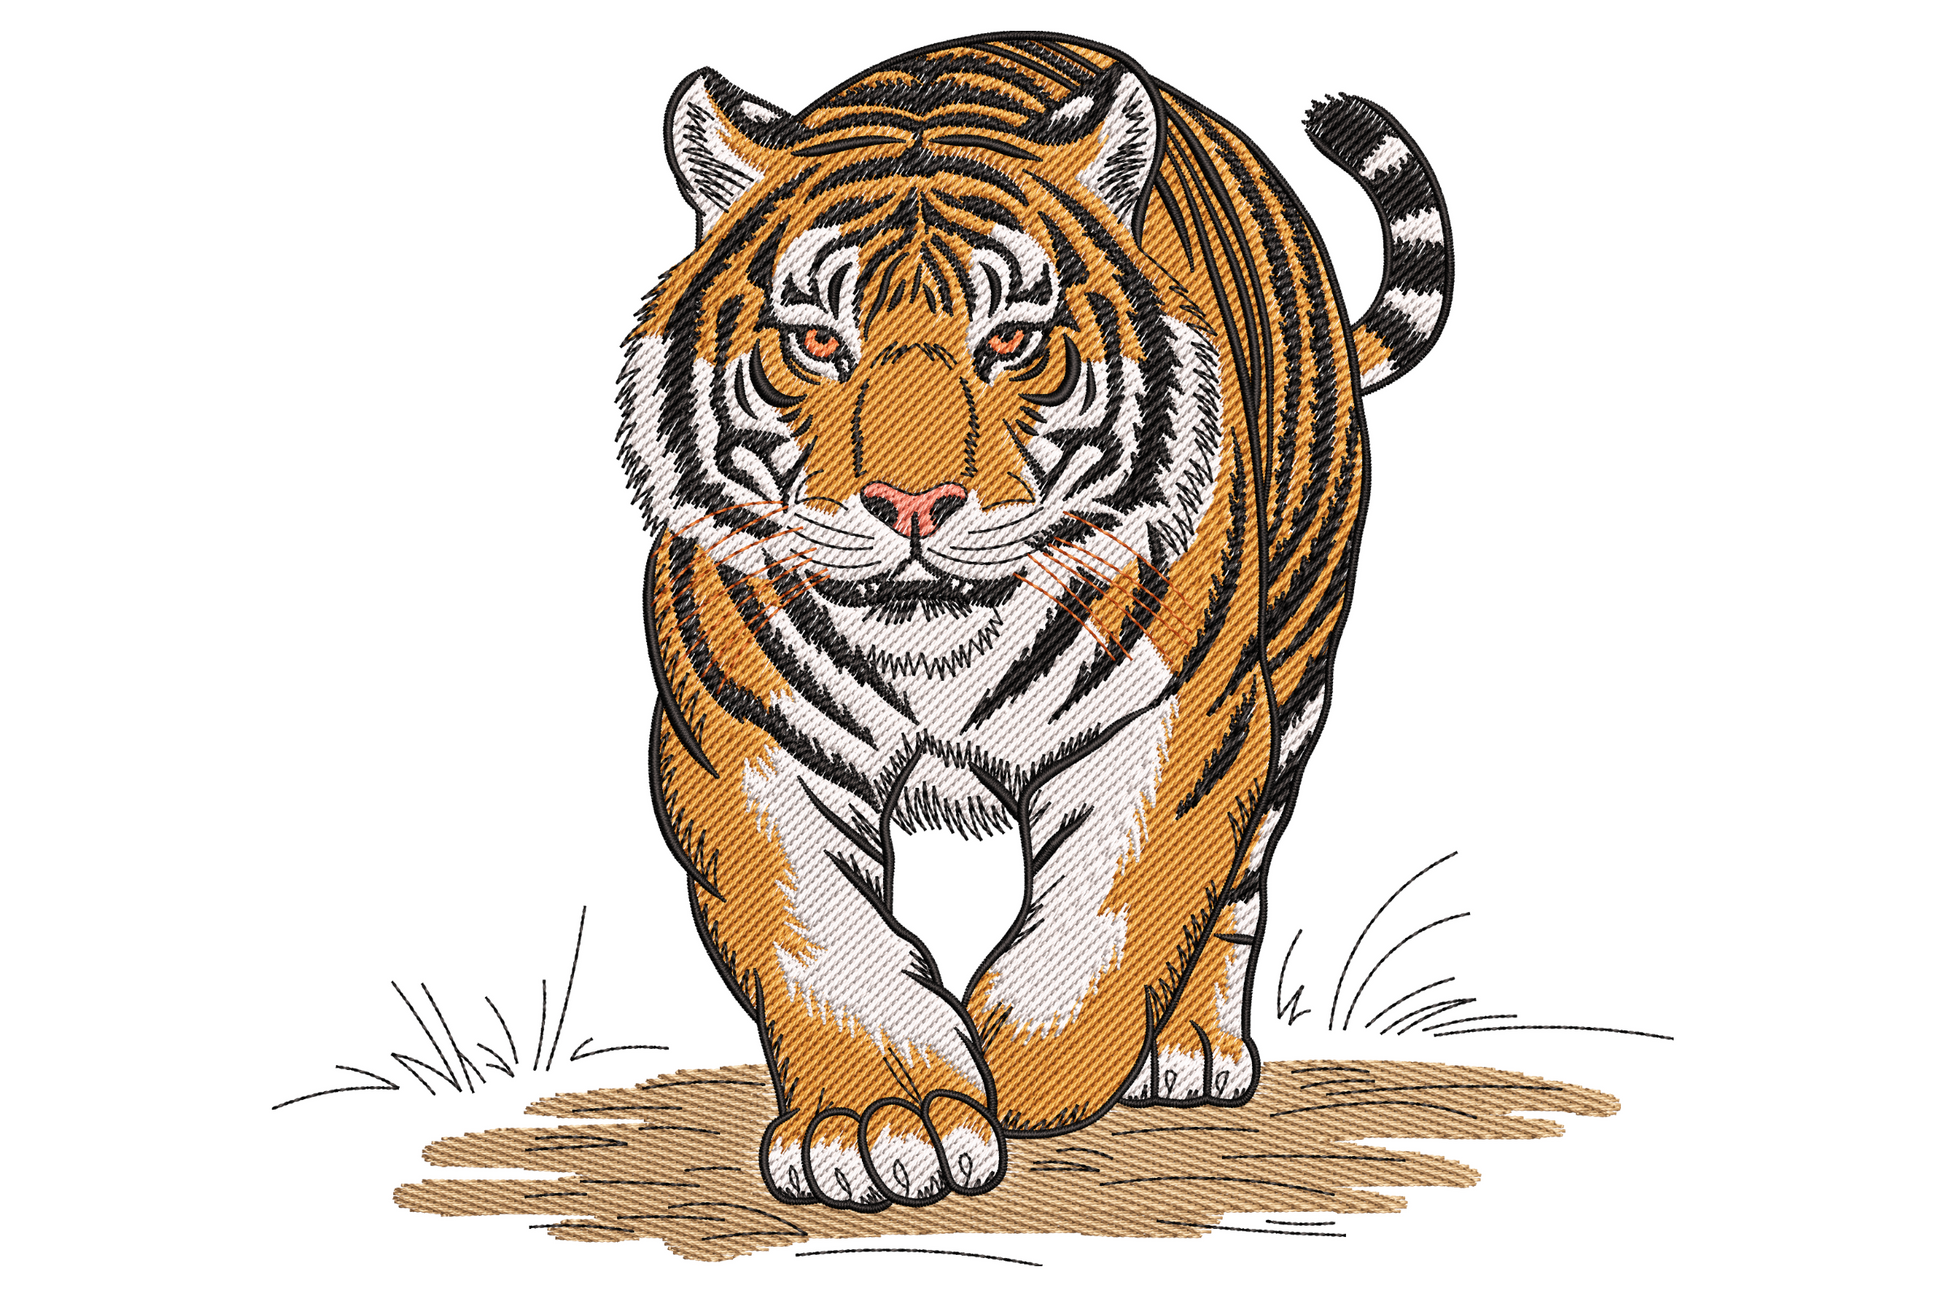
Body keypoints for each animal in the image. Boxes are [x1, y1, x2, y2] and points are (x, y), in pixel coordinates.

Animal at [615, 33, 1452, 1212]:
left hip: (1292, 650)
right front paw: (883, 1119)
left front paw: (1020, 1073)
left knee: (1241, 877)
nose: (913, 506)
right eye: (818, 342)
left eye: (1010, 340)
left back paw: (1189, 1047)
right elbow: (816, 928)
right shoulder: (744, 737)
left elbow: (1113, 910)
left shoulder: (1175, 714)